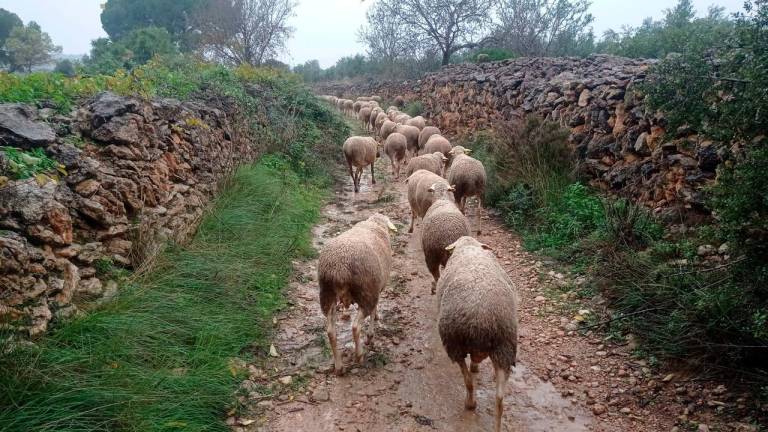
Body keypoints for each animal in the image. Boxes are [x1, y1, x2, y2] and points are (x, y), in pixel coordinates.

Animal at [318, 211, 396, 372]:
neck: (375, 224)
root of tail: (339, 268)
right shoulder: (376, 288)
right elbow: (374, 310)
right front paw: (371, 333)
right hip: (366, 293)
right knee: (355, 327)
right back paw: (359, 355)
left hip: (327, 296)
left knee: (331, 332)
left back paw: (339, 366)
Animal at [436, 236, 520, 432]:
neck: (468, 247)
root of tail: (481, 315)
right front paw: (476, 366)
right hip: (505, 348)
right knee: (499, 399)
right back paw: (497, 426)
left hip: (454, 345)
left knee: (468, 380)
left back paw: (470, 403)